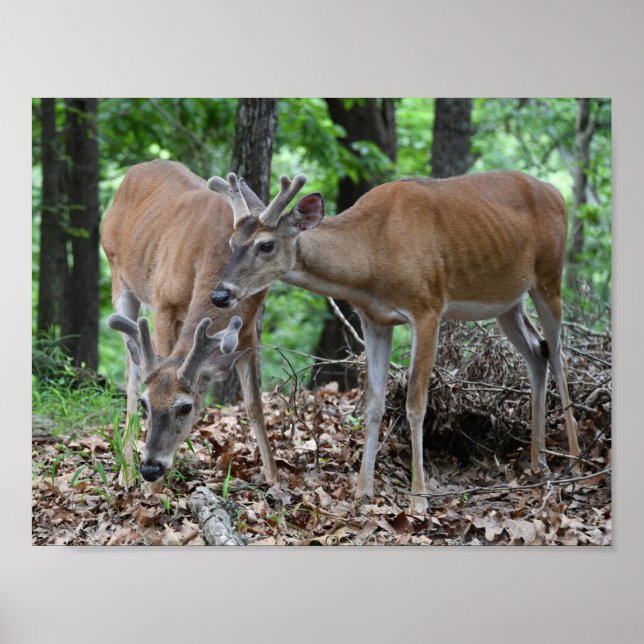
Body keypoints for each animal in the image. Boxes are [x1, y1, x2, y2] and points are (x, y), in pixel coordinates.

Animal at [100, 159, 277, 486]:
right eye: (147, 404)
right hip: (119, 277)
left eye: (186, 407)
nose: (151, 468)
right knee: (131, 372)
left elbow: (254, 405)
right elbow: (157, 364)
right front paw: (153, 491)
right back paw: (126, 474)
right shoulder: (163, 302)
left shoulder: (248, 324)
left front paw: (274, 478)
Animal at [206, 170, 581, 513]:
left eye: (266, 244)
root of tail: (557, 193)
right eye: (231, 244)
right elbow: (374, 401)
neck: (372, 254)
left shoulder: (428, 306)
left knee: (559, 355)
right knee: (537, 352)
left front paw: (419, 498)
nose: (220, 295)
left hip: (549, 275)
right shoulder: (374, 319)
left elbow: (416, 402)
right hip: (507, 301)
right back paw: (538, 461)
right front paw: (363, 490)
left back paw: (575, 459)